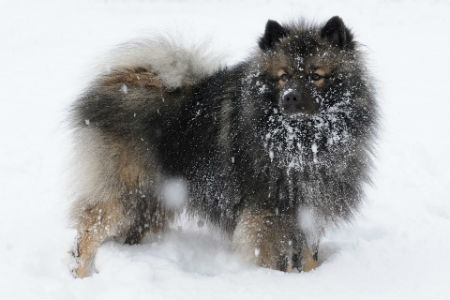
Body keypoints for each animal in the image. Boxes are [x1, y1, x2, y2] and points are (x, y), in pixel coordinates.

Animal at [70, 16, 378, 278]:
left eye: (315, 75)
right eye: (283, 76)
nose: (290, 97)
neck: (302, 142)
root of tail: (125, 79)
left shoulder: (310, 210)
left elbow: (308, 256)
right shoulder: (269, 215)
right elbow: (278, 259)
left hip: (153, 200)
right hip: (124, 191)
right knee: (88, 232)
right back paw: (82, 275)